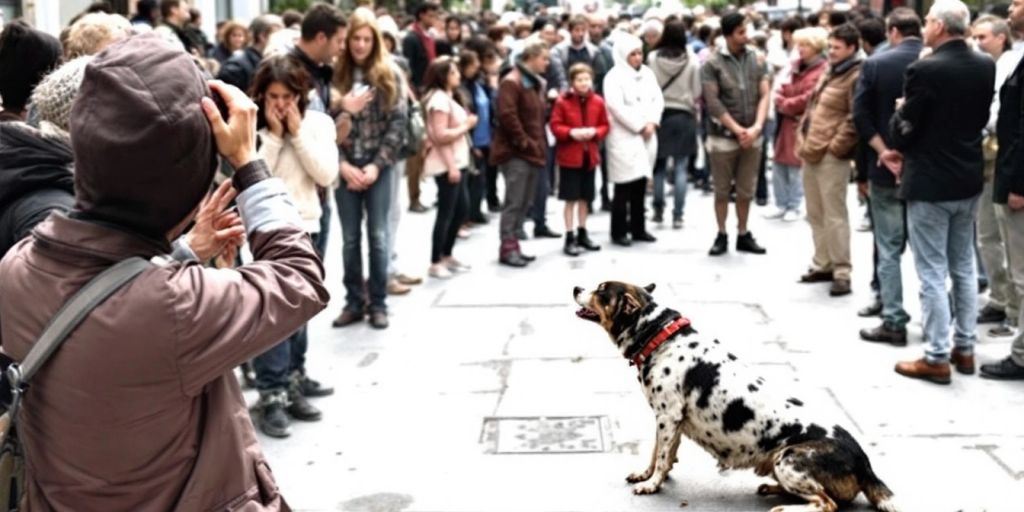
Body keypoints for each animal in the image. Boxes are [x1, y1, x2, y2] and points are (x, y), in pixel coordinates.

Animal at [573, 282, 901, 509]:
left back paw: (784, 508)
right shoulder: (669, 421)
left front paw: (652, 484)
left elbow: (662, 456)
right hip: (782, 465)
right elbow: (659, 454)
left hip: (788, 458)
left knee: (827, 503)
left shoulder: (667, 415)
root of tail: (865, 463)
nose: (576, 288)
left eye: (601, 290)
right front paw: (648, 475)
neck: (659, 335)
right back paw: (773, 491)